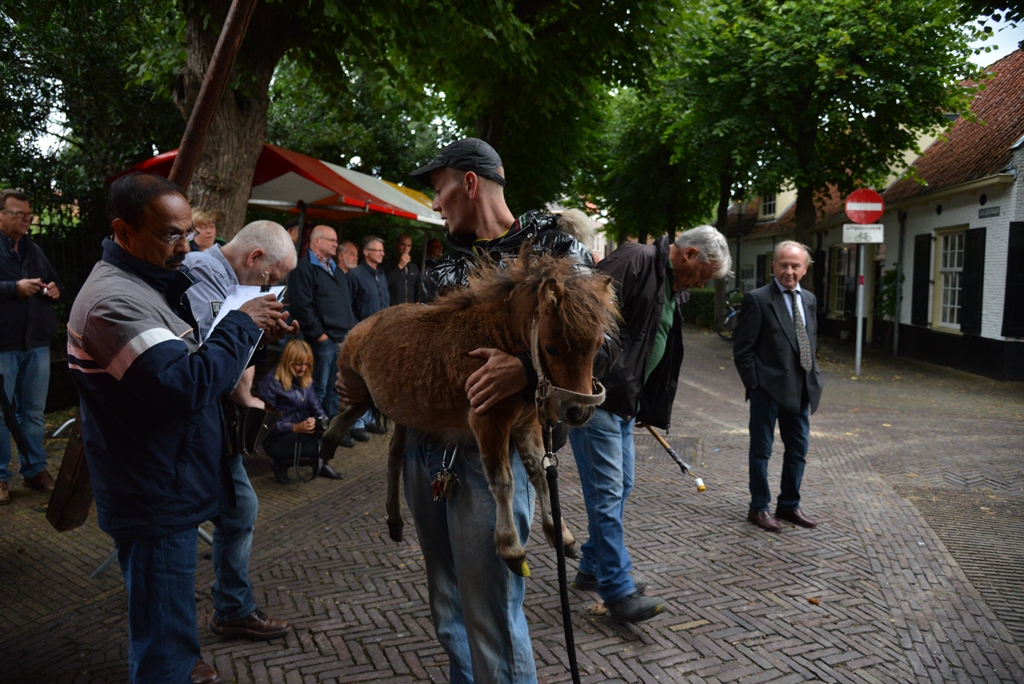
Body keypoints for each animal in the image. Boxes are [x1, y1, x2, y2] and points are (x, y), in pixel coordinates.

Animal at [321, 253, 614, 573]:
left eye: (598, 345)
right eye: (551, 348)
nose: (579, 411)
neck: (499, 340)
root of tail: (366, 323)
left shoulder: (526, 425)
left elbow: (539, 472)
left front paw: (561, 534)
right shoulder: (488, 422)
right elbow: (502, 481)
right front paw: (510, 548)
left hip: (403, 412)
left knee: (394, 453)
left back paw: (394, 519)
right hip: (355, 379)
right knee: (355, 405)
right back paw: (329, 441)